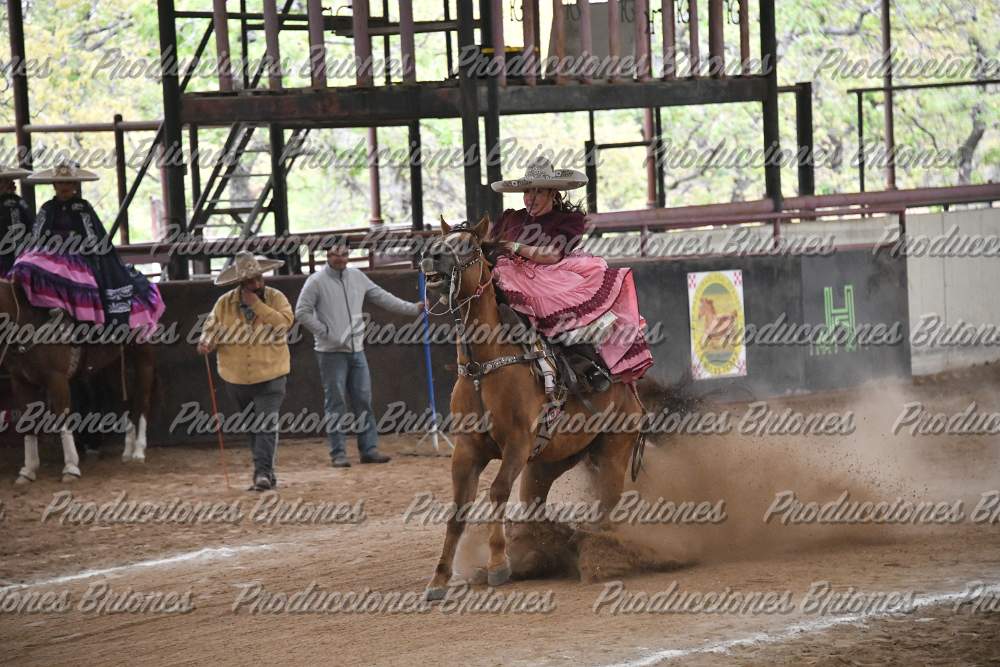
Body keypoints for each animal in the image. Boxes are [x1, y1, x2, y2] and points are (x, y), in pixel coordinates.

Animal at [0, 279, 156, 483]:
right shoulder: (20, 382)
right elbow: (28, 423)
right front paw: (28, 470)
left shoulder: (57, 379)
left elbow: (62, 419)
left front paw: (71, 467)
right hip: (113, 365)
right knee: (125, 401)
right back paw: (127, 451)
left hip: (144, 357)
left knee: (143, 400)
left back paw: (138, 451)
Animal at [420, 215, 649, 600]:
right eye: (441, 240)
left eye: (467, 245)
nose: (430, 256)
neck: (484, 366)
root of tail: (631, 389)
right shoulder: (467, 450)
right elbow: (458, 509)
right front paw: (438, 580)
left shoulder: (516, 444)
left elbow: (497, 491)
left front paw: (499, 565)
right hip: (548, 463)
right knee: (535, 506)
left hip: (614, 453)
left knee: (606, 508)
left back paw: (598, 556)